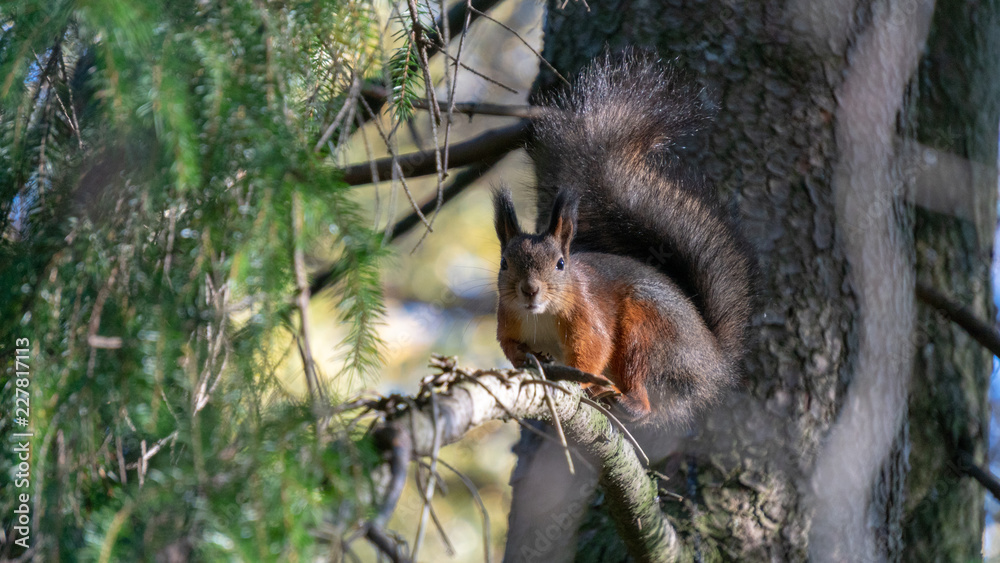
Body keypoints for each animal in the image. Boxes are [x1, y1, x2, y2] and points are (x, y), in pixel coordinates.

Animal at [493, 51, 757, 425]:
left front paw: (580, 381)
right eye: (504, 263)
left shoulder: (588, 318)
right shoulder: (509, 324)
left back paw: (624, 400)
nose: (530, 290)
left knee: (641, 387)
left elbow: (594, 351)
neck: (539, 316)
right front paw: (529, 362)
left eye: (560, 264)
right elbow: (513, 351)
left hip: (647, 333)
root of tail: (714, 364)